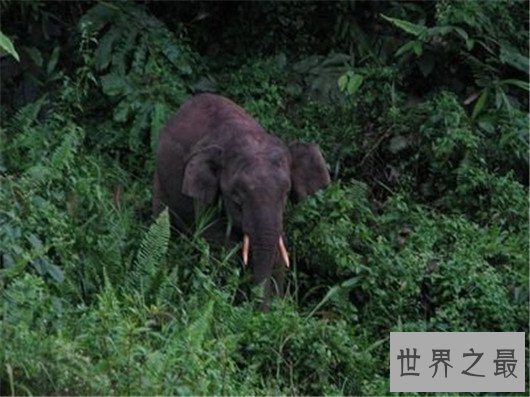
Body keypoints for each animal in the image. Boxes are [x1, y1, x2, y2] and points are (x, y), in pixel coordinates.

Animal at [151, 93, 328, 310]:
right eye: (236, 198)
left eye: (285, 194)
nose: (259, 311)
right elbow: (218, 244)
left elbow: (278, 249)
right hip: (160, 179)